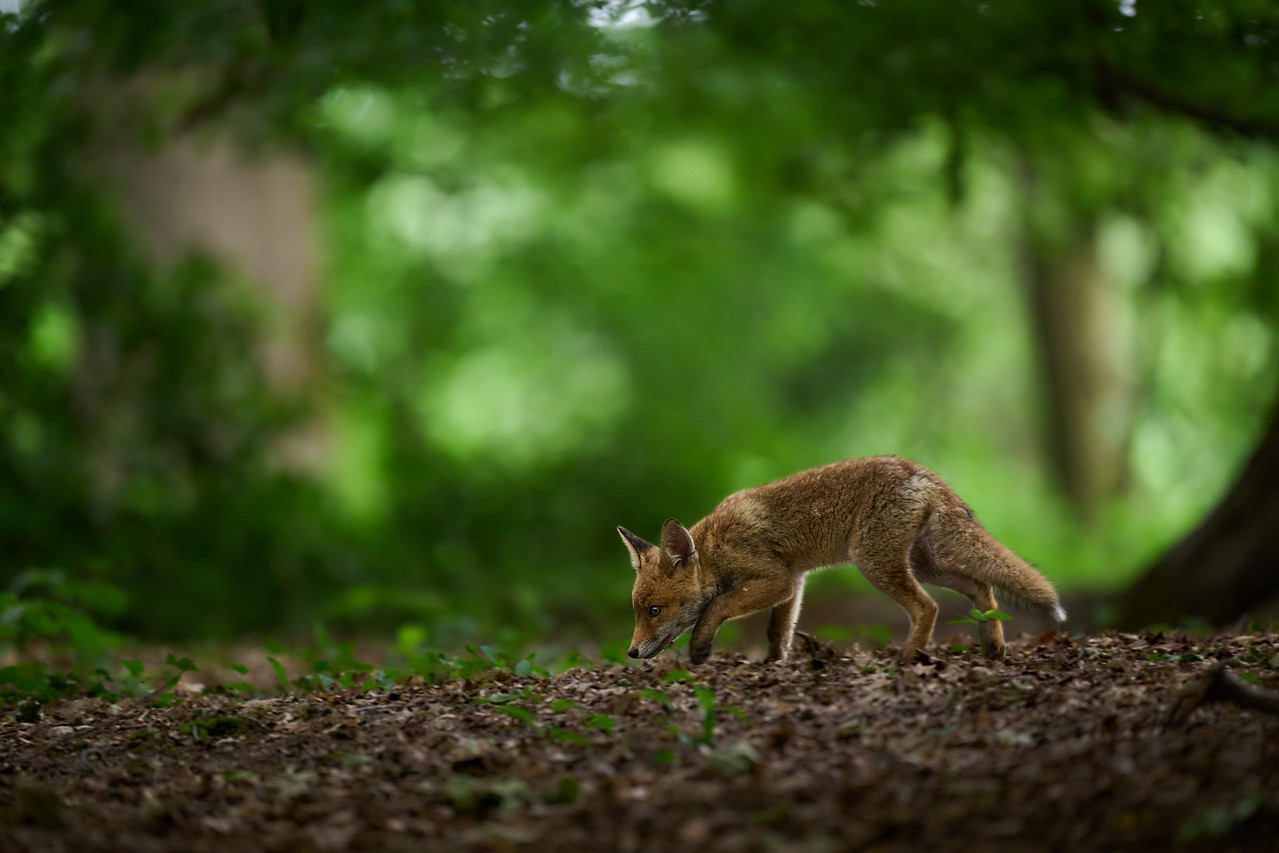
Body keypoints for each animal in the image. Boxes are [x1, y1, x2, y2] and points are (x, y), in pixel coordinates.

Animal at [613, 457, 1064, 670]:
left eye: (654, 610)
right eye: (638, 611)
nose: (631, 652)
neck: (716, 547)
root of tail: (920, 470)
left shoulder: (778, 580)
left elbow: (716, 607)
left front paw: (701, 647)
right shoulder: (794, 582)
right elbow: (778, 633)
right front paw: (774, 667)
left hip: (877, 564)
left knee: (928, 607)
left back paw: (907, 661)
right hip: (926, 564)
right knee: (981, 586)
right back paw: (994, 647)